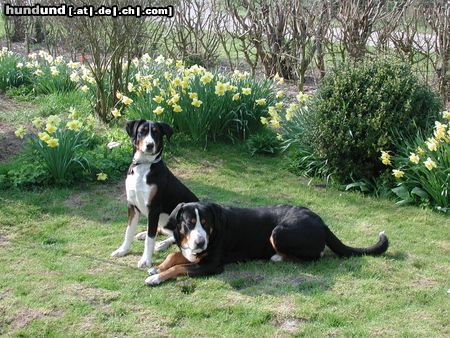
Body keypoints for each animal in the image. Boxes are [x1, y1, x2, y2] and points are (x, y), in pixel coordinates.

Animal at [110, 120, 197, 268]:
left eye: (156, 133)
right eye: (142, 131)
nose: (149, 145)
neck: (143, 166)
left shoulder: (154, 209)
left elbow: (150, 239)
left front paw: (146, 260)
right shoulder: (132, 205)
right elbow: (129, 231)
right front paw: (122, 250)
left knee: (174, 236)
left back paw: (162, 244)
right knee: (161, 230)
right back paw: (143, 234)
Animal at [146, 201, 388, 286]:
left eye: (206, 223)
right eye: (189, 223)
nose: (200, 241)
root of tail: (321, 221)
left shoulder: (212, 265)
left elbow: (179, 267)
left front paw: (157, 277)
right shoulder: (191, 253)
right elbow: (175, 256)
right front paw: (157, 267)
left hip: (279, 232)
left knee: (314, 256)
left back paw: (277, 256)